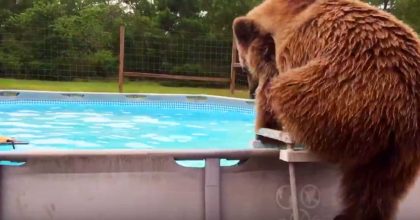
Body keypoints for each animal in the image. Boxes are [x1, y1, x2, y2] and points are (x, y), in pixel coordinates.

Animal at [233, 0, 420, 220]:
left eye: (244, 67)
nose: (250, 91)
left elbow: (269, 89)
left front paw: (263, 131)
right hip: (401, 149)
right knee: (375, 184)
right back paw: (351, 213)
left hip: (342, 91)